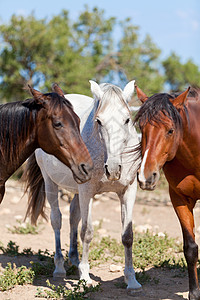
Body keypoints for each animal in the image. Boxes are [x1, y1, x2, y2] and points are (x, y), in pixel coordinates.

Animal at [23, 81, 142, 292]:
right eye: (99, 121)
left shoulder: (128, 191)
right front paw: (85, 278)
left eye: (127, 120)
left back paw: (75, 260)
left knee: (73, 217)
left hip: (77, 192)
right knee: (57, 220)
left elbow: (127, 235)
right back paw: (60, 267)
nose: (113, 169)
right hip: (51, 183)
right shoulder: (87, 192)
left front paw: (131, 280)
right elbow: (86, 233)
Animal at [134, 85, 200, 300]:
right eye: (141, 128)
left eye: (170, 130)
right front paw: (194, 293)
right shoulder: (179, 199)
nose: (145, 177)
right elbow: (190, 249)